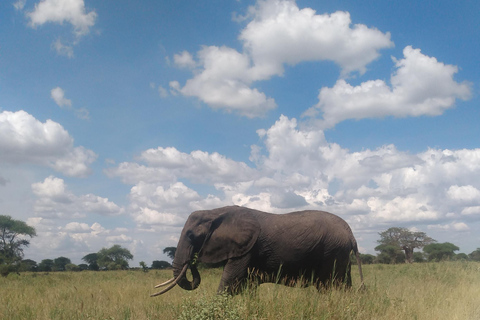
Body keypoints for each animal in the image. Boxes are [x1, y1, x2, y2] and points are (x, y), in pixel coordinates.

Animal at [152, 206, 362, 296]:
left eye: (191, 236)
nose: (193, 259)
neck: (214, 211)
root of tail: (350, 232)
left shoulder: (247, 248)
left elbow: (230, 282)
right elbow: (247, 285)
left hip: (332, 251)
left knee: (328, 286)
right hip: (340, 253)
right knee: (344, 284)